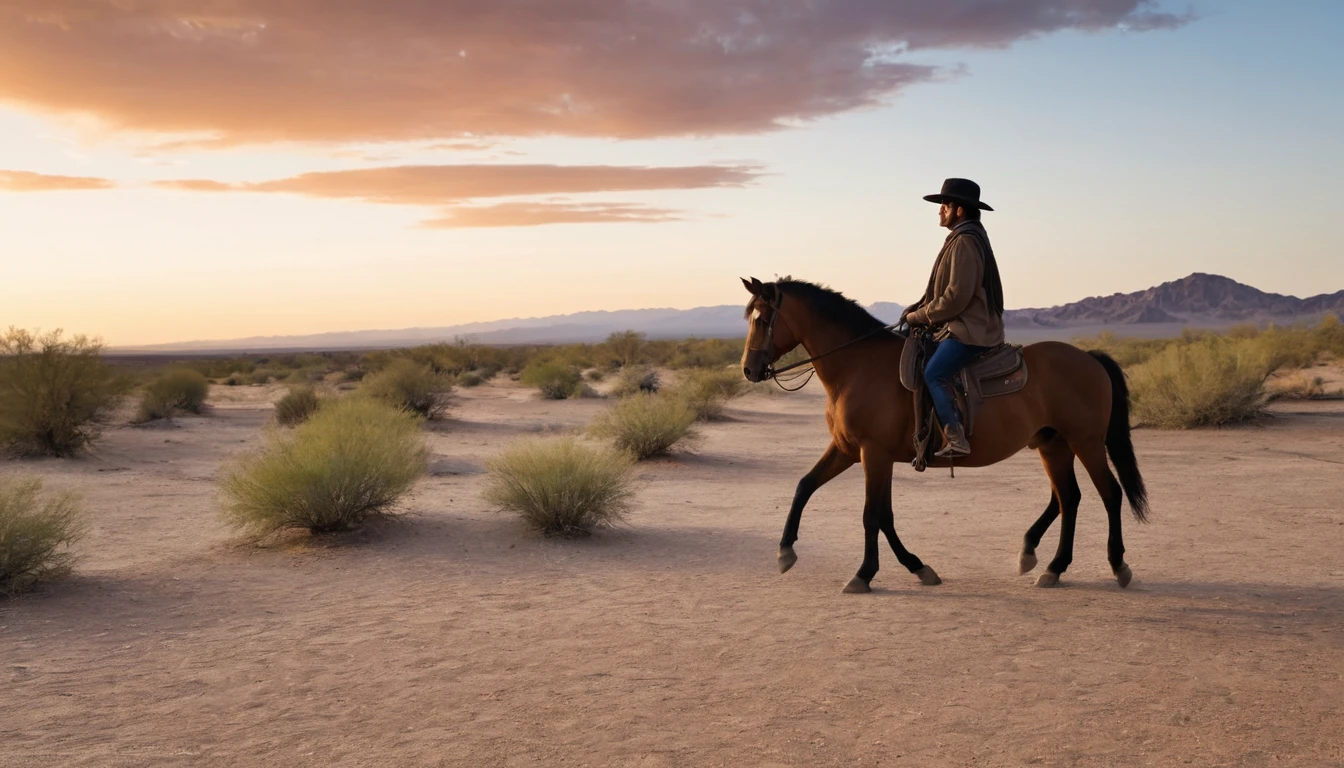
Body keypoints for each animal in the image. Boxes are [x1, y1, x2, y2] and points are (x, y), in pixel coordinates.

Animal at [741, 278, 1150, 594]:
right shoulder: (852, 450)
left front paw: (863, 575)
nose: (748, 369)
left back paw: (1116, 566)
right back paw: (1051, 566)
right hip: (1053, 444)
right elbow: (812, 488)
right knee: (1069, 498)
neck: (857, 367)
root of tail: (1091, 357)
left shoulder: (872, 453)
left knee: (1109, 494)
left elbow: (872, 514)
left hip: (1086, 442)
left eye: (762, 319)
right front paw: (786, 552)